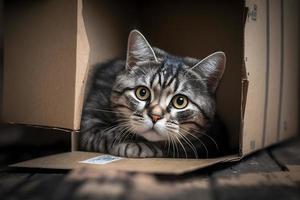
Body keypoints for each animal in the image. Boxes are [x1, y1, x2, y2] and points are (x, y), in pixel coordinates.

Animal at [78, 30, 229, 158]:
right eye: (142, 93)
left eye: (180, 101)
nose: (155, 116)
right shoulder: (89, 121)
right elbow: (108, 133)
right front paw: (136, 145)